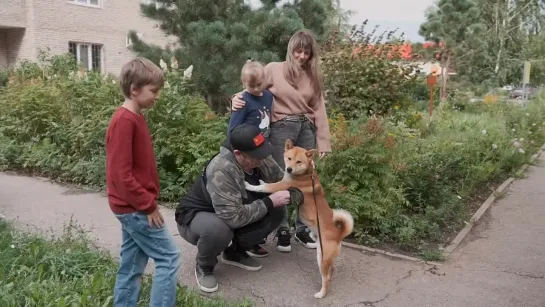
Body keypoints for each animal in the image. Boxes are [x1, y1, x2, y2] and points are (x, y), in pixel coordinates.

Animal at [243, 140, 352, 298]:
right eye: (289, 158)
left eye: (298, 161)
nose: (288, 169)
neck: (305, 175)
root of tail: (339, 234)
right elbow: (266, 183)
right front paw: (261, 180)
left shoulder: (281, 186)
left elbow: (263, 187)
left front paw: (250, 185)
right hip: (323, 256)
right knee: (331, 273)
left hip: (323, 258)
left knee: (326, 278)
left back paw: (321, 294)